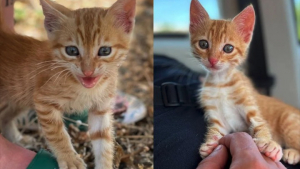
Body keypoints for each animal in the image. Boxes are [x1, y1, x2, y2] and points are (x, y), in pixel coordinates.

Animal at [0, 0, 135, 168]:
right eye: (72, 50)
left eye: (105, 51)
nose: (88, 71)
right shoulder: (43, 102)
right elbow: (57, 134)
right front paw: (69, 158)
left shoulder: (101, 109)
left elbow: (103, 143)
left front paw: (104, 165)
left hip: (17, 99)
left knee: (5, 116)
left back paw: (17, 139)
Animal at [190, 0, 300, 164]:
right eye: (203, 44)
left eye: (228, 48)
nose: (213, 60)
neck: (220, 83)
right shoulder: (218, 119)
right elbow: (215, 130)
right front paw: (210, 144)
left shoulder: (251, 108)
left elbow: (261, 124)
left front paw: (269, 144)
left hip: (289, 121)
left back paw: (292, 152)